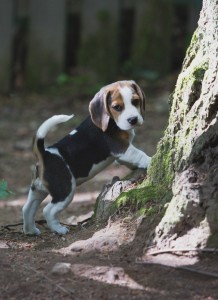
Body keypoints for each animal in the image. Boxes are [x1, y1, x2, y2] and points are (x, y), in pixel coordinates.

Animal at [22, 81, 152, 236]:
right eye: (117, 107)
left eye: (135, 101)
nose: (133, 120)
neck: (111, 121)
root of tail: (45, 154)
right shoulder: (123, 149)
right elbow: (140, 154)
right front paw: (150, 160)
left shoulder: (121, 155)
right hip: (65, 191)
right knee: (48, 210)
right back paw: (59, 229)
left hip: (37, 190)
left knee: (27, 208)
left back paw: (30, 230)